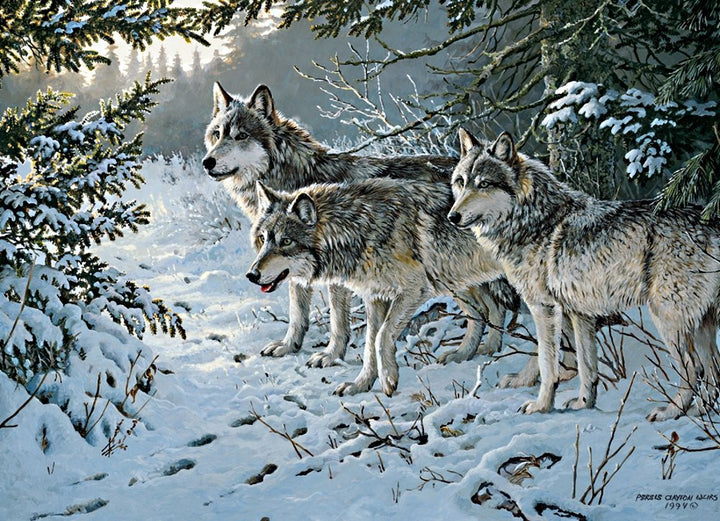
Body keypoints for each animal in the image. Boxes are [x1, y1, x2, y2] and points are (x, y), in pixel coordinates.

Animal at [202, 83, 506, 367]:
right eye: (217, 134)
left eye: (241, 136)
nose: (207, 162)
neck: (300, 179)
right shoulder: (297, 269)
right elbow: (297, 313)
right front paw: (290, 346)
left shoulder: (336, 275)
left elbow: (337, 321)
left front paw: (331, 355)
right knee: (493, 308)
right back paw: (486, 351)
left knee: (488, 308)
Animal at [245, 178, 518, 395]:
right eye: (263, 239)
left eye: (286, 241)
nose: (251, 274)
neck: (358, 229)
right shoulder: (375, 297)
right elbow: (369, 344)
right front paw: (360, 385)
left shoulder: (412, 291)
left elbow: (379, 337)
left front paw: (388, 380)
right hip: (453, 280)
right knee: (487, 310)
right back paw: (473, 353)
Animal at [448, 128, 720, 421]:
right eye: (461, 182)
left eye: (484, 184)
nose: (452, 216)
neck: (534, 221)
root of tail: (711, 221)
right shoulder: (579, 314)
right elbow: (586, 366)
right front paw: (583, 403)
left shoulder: (544, 308)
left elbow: (546, 361)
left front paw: (541, 405)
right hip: (700, 322)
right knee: (713, 369)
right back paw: (701, 411)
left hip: (668, 319)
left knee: (695, 368)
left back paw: (672, 412)